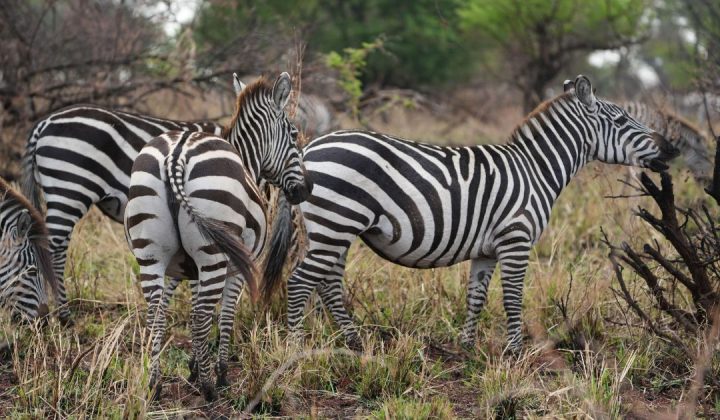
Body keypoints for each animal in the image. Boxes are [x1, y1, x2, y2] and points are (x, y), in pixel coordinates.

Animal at [124, 72, 312, 401]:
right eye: (293, 135)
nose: (304, 190)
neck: (247, 160)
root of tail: (176, 154)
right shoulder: (237, 264)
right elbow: (223, 314)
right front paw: (218, 372)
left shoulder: (183, 268)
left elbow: (182, 310)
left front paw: (194, 365)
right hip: (213, 253)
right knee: (201, 316)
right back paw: (209, 388)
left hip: (150, 253)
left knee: (155, 313)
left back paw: (155, 384)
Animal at [264, 75, 679, 353]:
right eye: (623, 121)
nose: (671, 149)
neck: (535, 170)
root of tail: (309, 147)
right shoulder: (516, 240)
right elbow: (513, 297)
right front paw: (515, 352)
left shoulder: (487, 250)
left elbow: (476, 296)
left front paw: (466, 346)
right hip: (336, 223)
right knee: (300, 282)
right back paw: (295, 347)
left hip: (336, 229)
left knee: (328, 283)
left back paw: (354, 342)